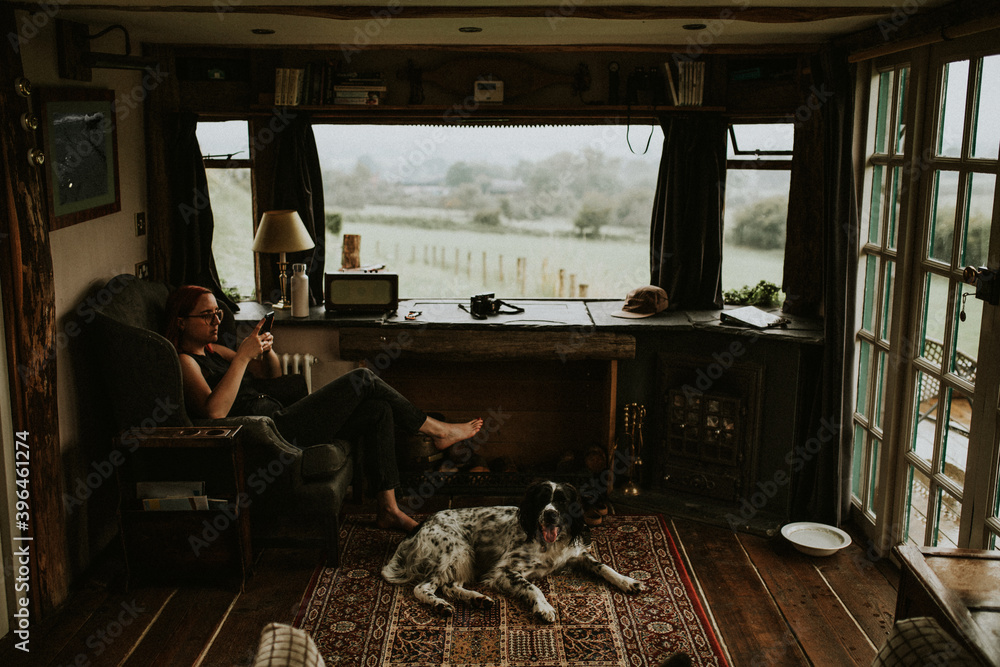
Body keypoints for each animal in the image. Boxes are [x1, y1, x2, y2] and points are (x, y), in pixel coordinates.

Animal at [378, 482, 644, 624]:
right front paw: (544, 607)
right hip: (457, 549)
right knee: (423, 587)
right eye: (542, 500)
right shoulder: (504, 571)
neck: (548, 543)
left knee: (450, 585)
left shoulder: (577, 555)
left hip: (465, 558)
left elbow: (604, 567)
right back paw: (441, 605)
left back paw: (477, 599)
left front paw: (628, 581)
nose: (550, 515)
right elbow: (533, 587)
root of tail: (420, 525)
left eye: (562, 501)